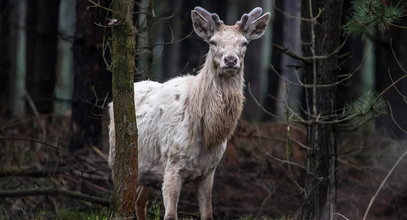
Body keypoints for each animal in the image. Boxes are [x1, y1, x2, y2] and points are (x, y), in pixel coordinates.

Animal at [108, 6, 270, 220]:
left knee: (139, 201)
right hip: (117, 161)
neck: (208, 135)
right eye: (213, 41)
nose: (230, 60)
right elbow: (170, 215)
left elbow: (208, 214)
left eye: (244, 42)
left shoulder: (209, 171)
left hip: (150, 173)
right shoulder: (172, 164)